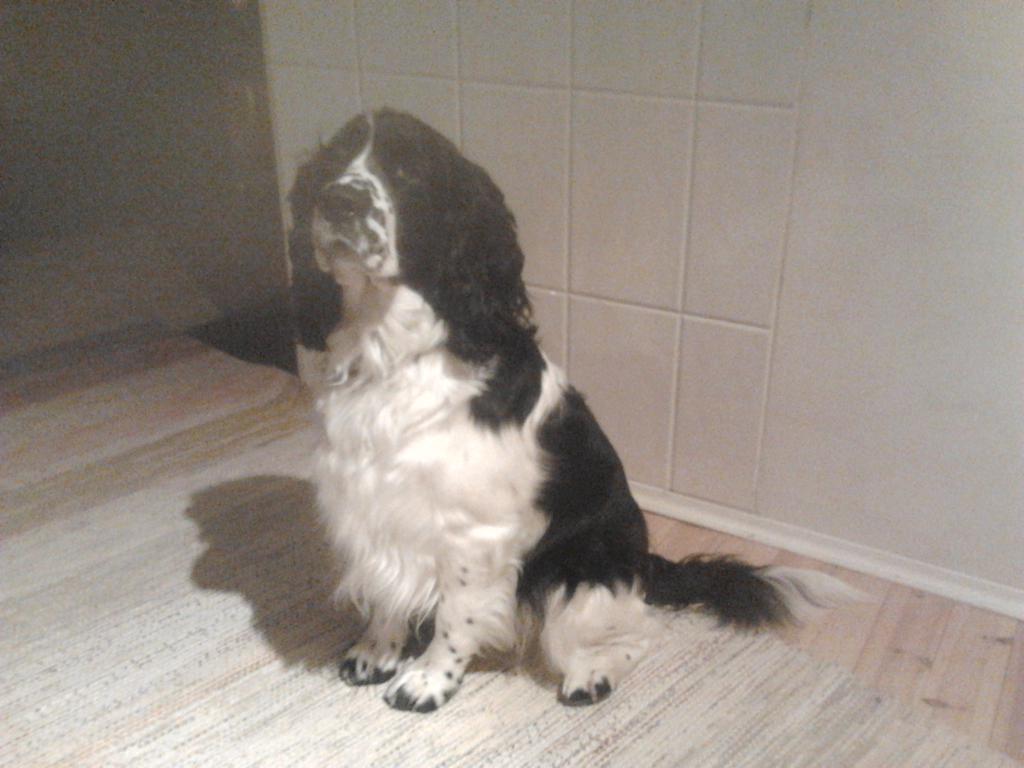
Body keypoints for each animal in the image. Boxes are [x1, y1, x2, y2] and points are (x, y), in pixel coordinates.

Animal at [286, 109, 858, 713]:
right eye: (332, 161)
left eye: (408, 172)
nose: (339, 200)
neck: (393, 353)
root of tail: (644, 563)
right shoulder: (369, 506)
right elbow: (384, 593)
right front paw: (378, 651)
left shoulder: (472, 532)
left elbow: (454, 616)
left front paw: (428, 679)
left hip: (578, 573)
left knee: (637, 632)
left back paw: (593, 674)